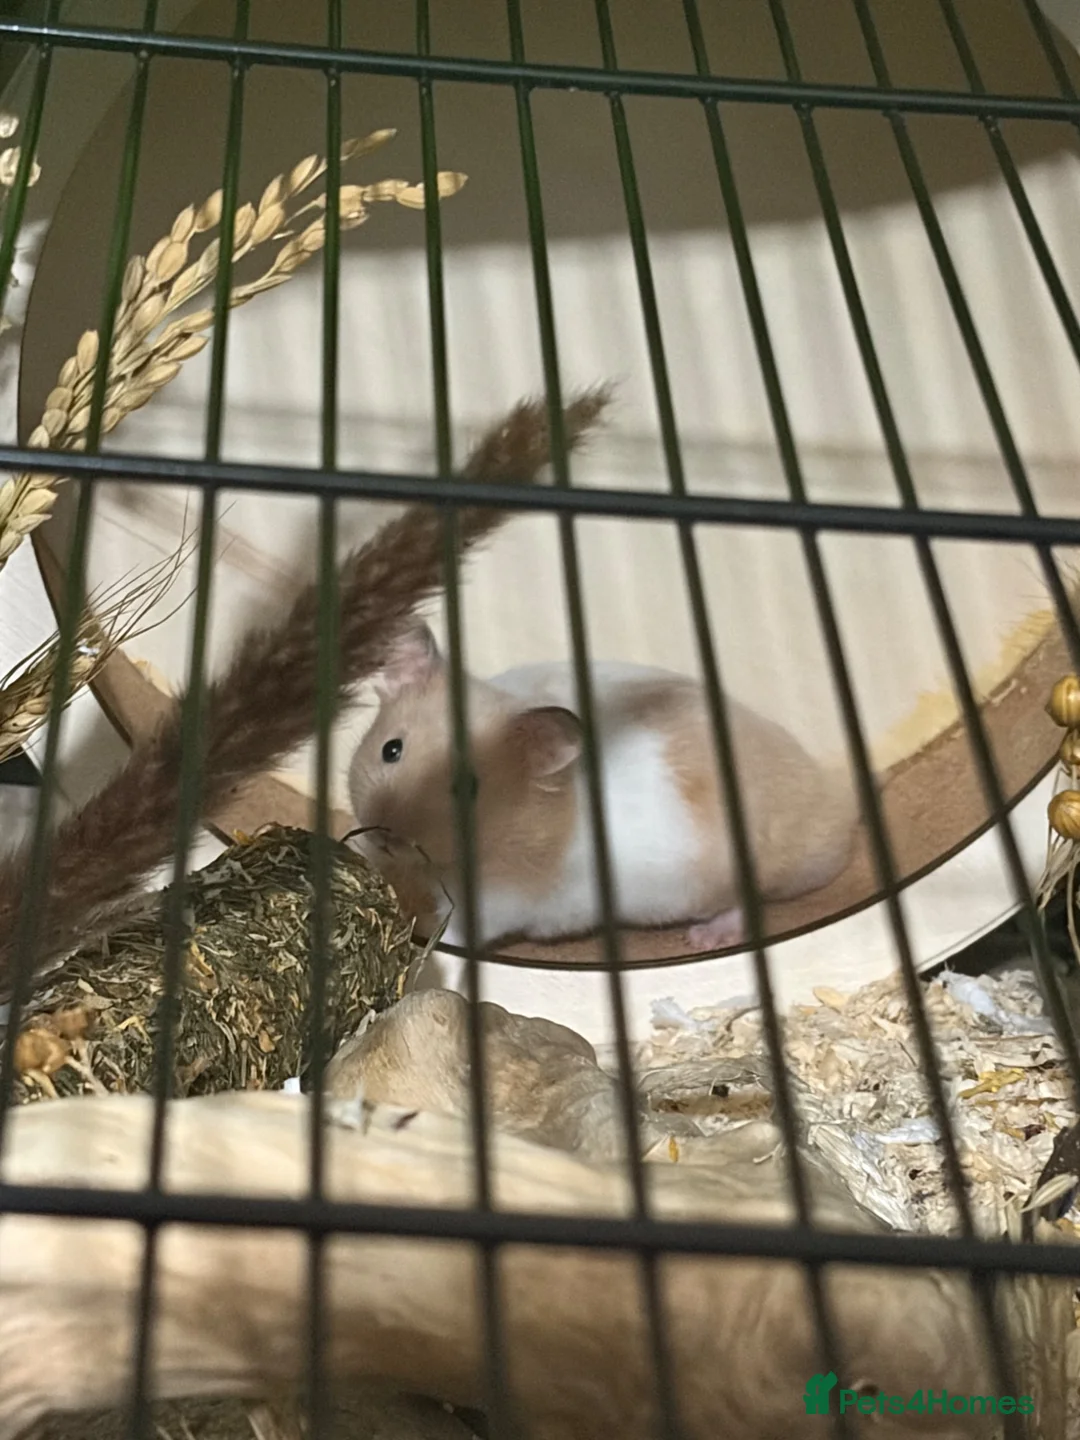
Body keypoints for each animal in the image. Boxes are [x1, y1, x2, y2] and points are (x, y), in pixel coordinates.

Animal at [347, 622, 859, 952]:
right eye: (390, 749)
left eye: (468, 786)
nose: (385, 838)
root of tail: (835, 824)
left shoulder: (498, 903)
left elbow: (458, 933)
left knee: (742, 907)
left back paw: (705, 937)